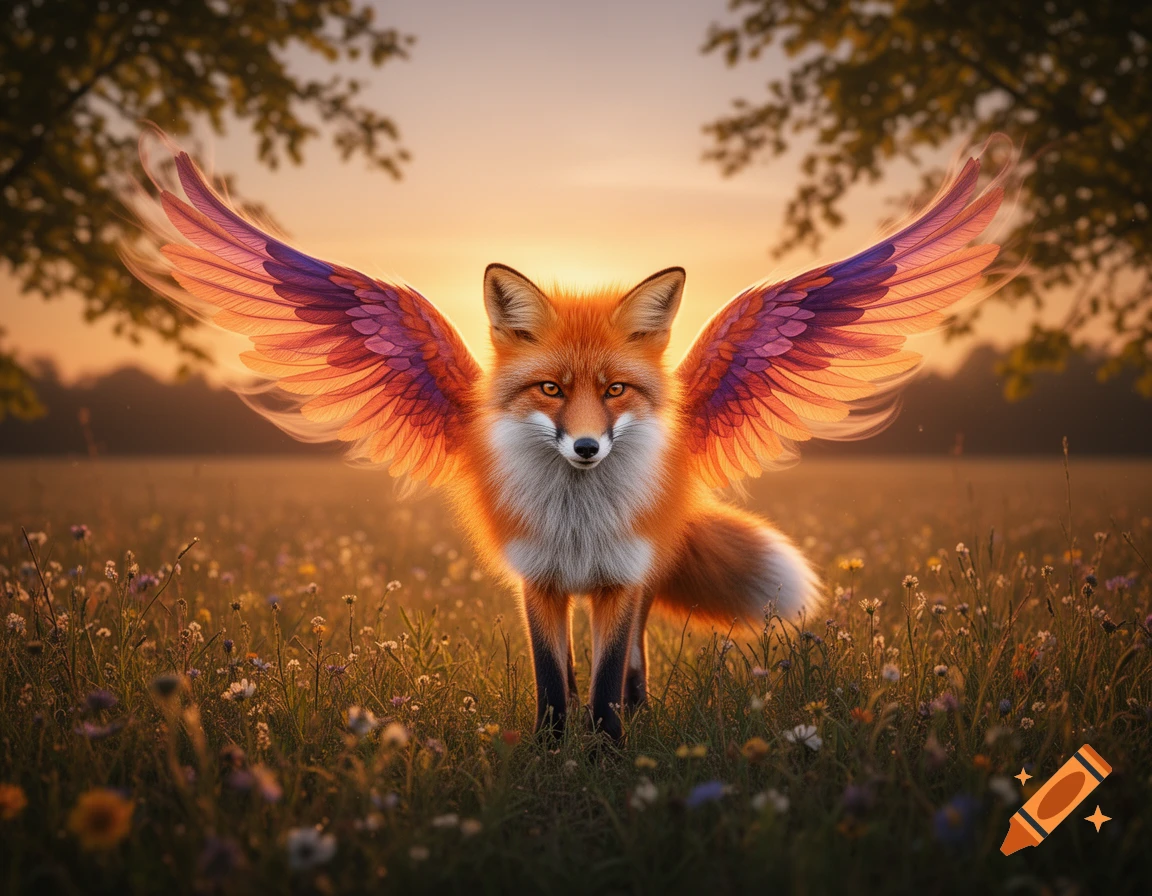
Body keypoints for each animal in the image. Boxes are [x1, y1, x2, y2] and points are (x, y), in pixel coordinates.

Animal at [125, 130, 1009, 741]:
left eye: (615, 390)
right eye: (550, 389)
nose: (586, 448)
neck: (578, 521)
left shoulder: (618, 583)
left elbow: (607, 685)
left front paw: (612, 757)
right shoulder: (540, 583)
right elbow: (556, 688)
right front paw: (553, 760)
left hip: (641, 580)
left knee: (637, 662)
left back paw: (641, 717)